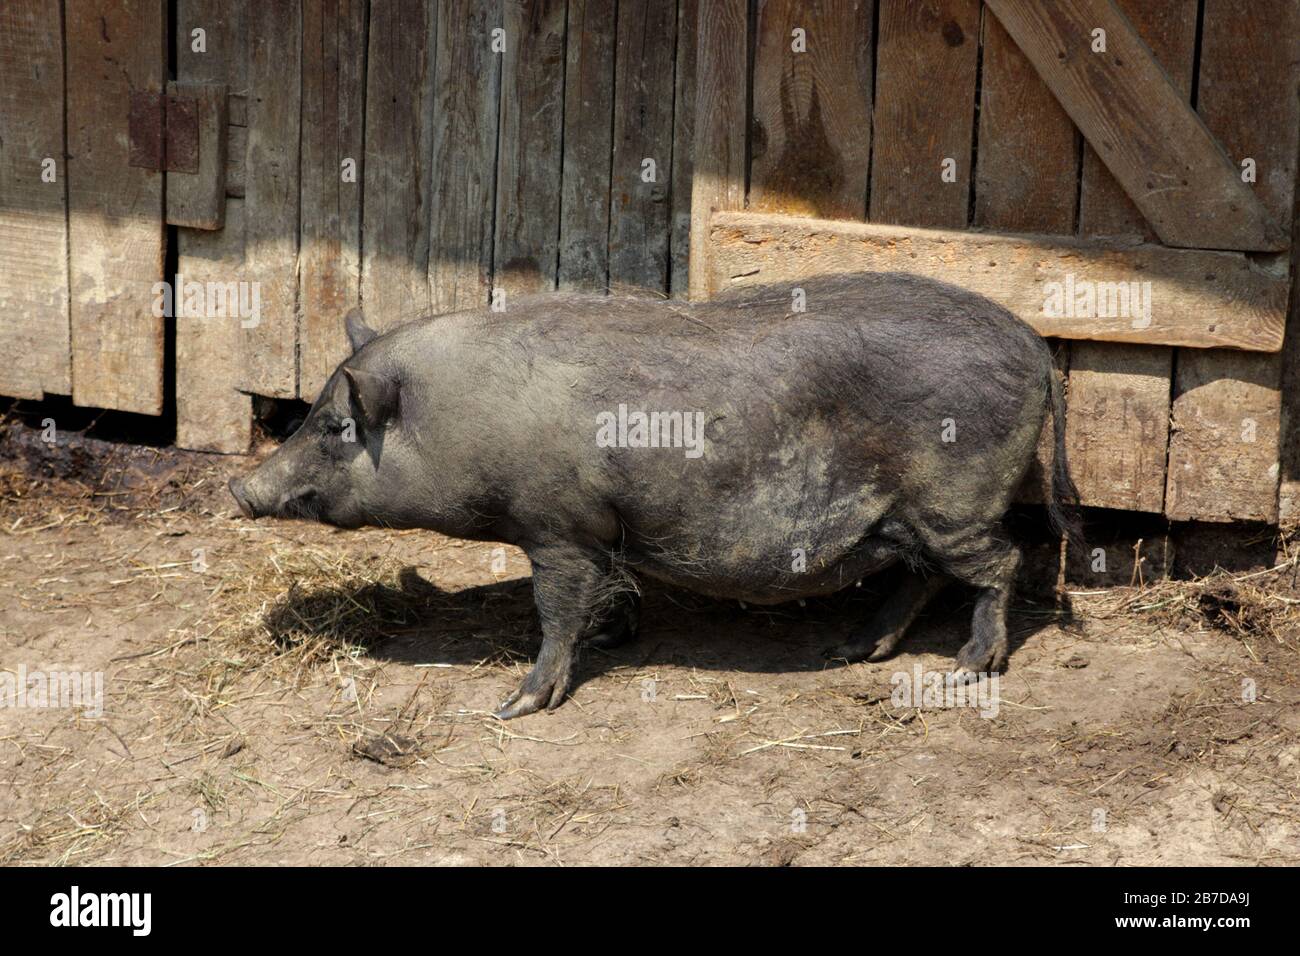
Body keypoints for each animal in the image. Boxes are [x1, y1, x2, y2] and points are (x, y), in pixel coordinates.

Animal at [231, 269, 1076, 717]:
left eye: (336, 425)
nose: (240, 487)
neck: (460, 414)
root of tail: (1037, 347)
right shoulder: (603, 532)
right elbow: (613, 591)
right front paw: (613, 639)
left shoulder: (558, 528)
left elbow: (555, 611)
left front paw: (517, 705)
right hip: (909, 519)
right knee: (922, 578)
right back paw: (849, 650)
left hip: (955, 502)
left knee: (1000, 563)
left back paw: (969, 667)